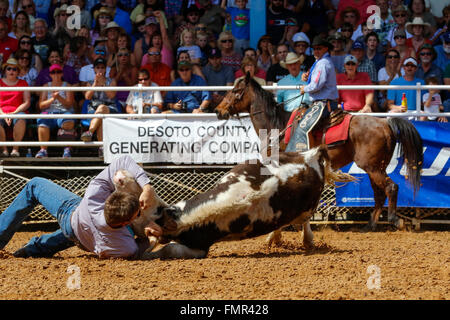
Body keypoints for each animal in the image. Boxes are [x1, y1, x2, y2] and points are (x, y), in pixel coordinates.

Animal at [216, 74, 424, 231]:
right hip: (375, 167)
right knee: (379, 194)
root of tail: (385, 122)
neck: (277, 125)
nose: (218, 111)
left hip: (373, 167)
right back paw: (370, 225)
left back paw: (394, 220)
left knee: (391, 188)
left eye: (235, 91)